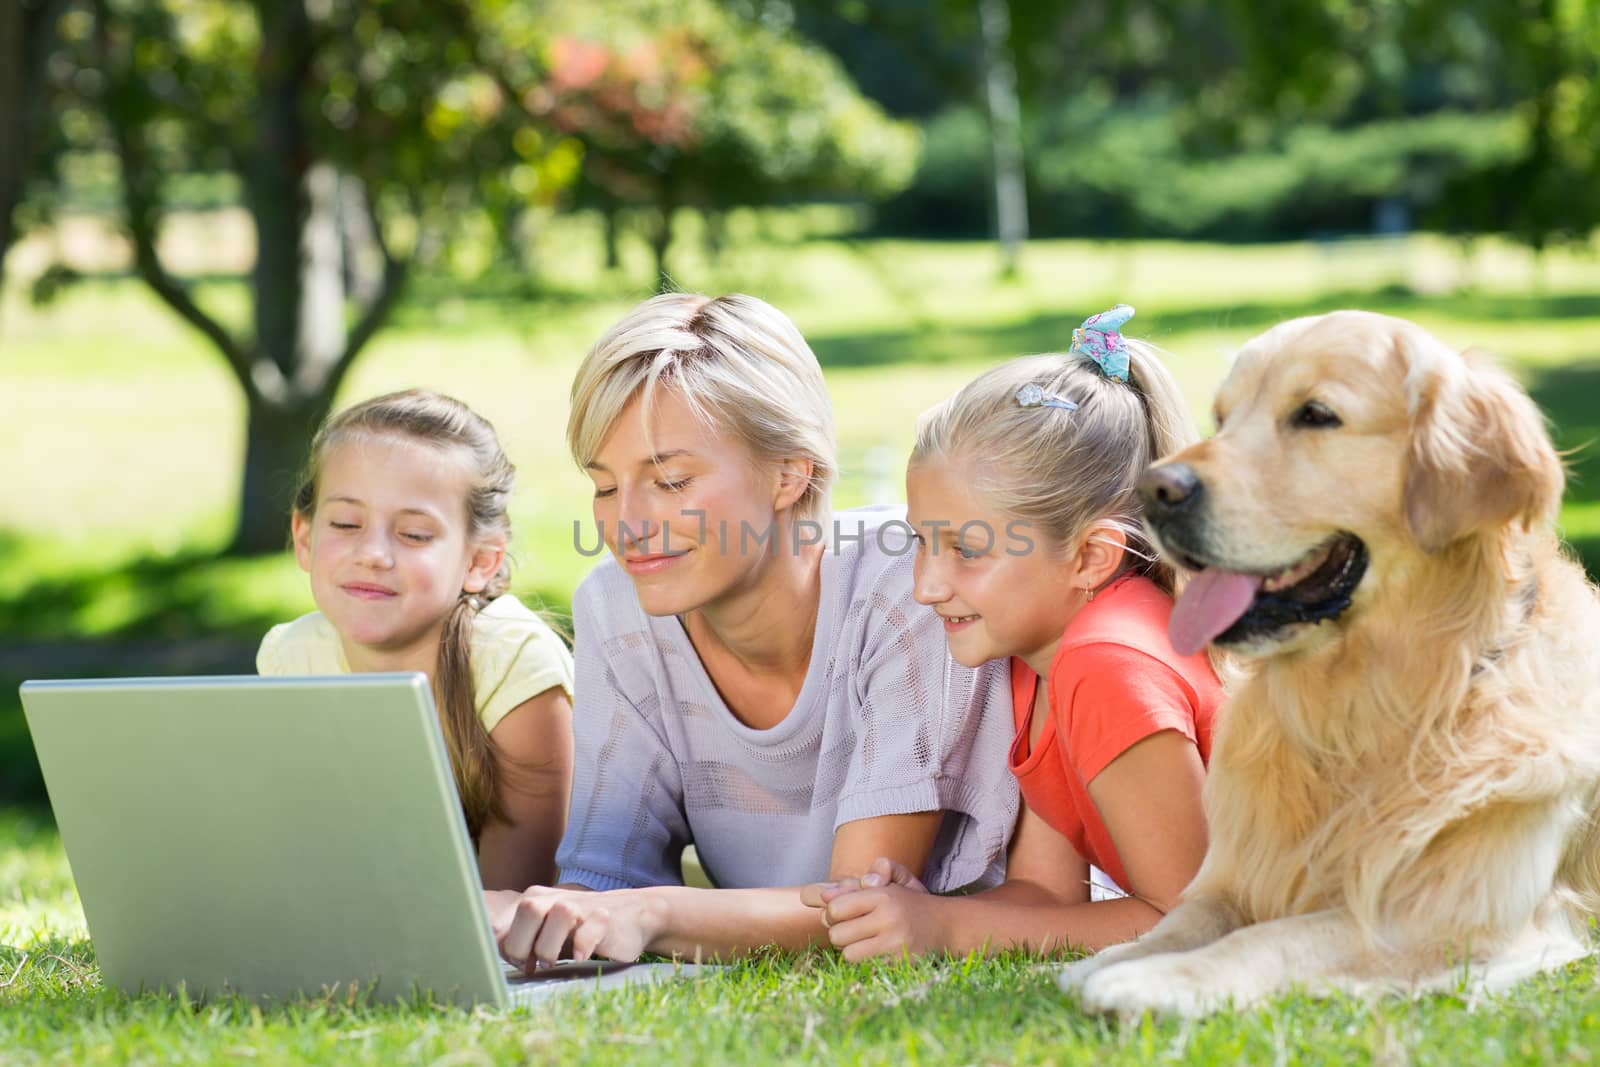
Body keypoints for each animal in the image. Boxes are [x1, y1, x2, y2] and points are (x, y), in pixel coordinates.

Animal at [1062, 308, 1600, 1017]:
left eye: (1316, 415)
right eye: (1223, 417)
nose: (1155, 490)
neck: (1366, 710)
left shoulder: (1444, 918)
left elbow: (1274, 937)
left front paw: (1153, 980)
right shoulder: (1236, 872)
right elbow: (1184, 918)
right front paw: (1111, 959)